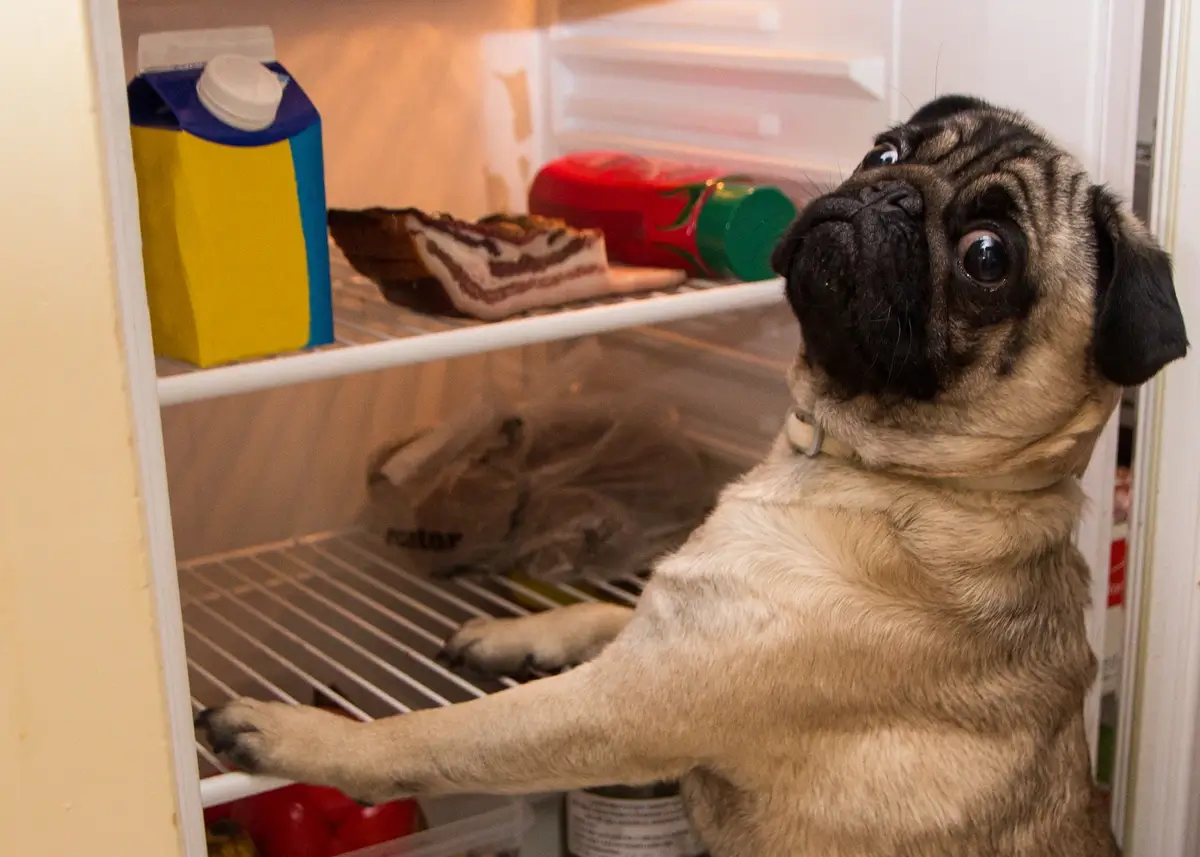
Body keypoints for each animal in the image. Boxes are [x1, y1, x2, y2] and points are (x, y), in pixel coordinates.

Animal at [196, 95, 1180, 854]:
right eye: (886, 149)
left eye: (986, 256)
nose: (888, 193)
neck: (859, 464)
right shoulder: (673, 634)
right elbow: (608, 611)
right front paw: (521, 632)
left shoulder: (619, 709)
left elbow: (432, 733)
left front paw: (296, 732)